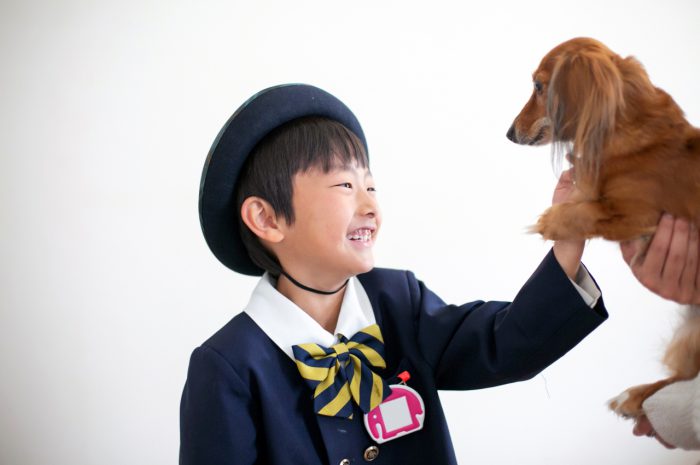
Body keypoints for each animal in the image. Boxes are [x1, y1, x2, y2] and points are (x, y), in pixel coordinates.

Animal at [506, 38, 700, 418]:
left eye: (538, 85)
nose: (510, 134)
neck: (627, 124)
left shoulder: (638, 215)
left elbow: (584, 212)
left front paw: (549, 220)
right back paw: (634, 399)